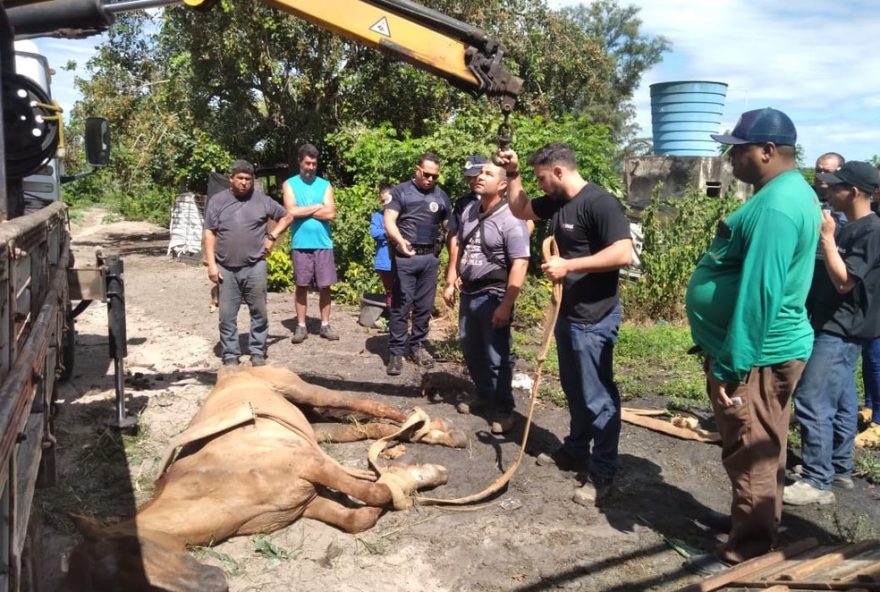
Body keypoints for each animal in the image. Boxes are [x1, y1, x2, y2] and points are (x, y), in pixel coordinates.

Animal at [67, 366, 468, 592]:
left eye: (132, 559)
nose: (215, 586)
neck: (222, 483)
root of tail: (231, 371)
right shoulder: (308, 502)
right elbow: (360, 517)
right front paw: (412, 478)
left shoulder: (310, 464)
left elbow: (375, 492)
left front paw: (418, 477)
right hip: (314, 427)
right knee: (363, 427)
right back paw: (405, 438)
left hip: (304, 392)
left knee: (370, 405)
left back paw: (432, 430)